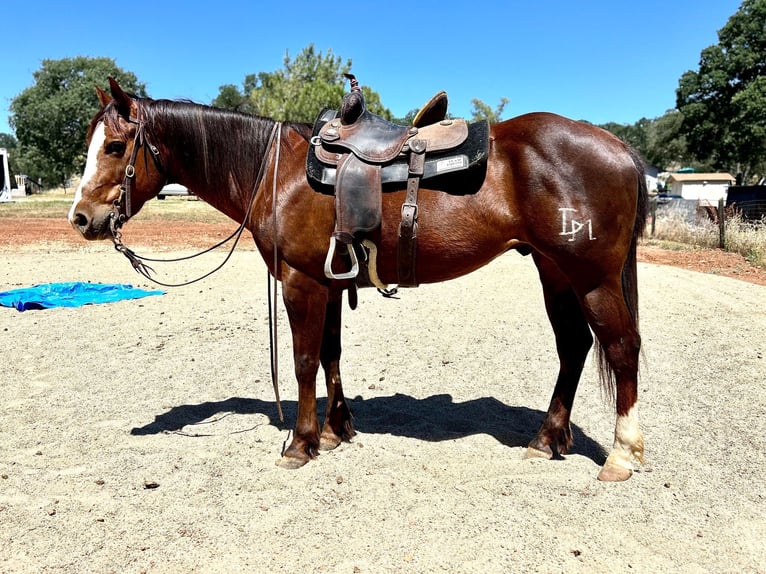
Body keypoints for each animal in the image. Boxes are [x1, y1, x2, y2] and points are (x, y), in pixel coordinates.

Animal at [70, 76, 648, 482]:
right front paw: (335, 431)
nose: (80, 218)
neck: (276, 171)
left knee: (621, 348)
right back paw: (547, 439)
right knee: (574, 346)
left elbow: (304, 361)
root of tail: (619, 148)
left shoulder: (301, 281)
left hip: (592, 278)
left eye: (115, 147)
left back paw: (621, 454)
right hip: (555, 272)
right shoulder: (328, 282)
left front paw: (299, 444)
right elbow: (331, 355)